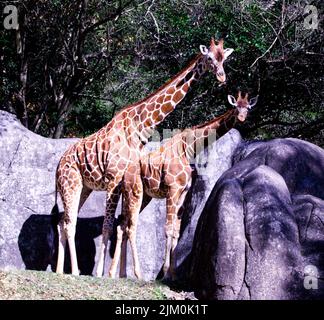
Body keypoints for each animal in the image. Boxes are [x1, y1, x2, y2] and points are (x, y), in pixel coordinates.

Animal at [53, 38, 233, 278]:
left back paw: (59, 270)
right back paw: (74, 271)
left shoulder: (126, 180)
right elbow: (109, 226)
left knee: (62, 221)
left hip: (83, 187)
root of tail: (58, 164)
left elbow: (122, 224)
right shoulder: (114, 178)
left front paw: (119, 274)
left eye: (224, 59)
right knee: (70, 222)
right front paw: (101, 273)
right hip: (70, 183)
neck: (140, 127)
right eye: (210, 58)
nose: (222, 77)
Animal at [110, 90, 260, 280]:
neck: (188, 148)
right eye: (235, 107)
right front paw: (165, 273)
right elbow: (168, 229)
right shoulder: (172, 190)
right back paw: (138, 274)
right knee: (131, 227)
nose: (241, 118)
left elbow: (176, 232)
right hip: (135, 192)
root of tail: (123, 175)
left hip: (140, 196)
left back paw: (116, 273)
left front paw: (173, 274)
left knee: (121, 226)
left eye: (248, 108)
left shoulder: (183, 193)